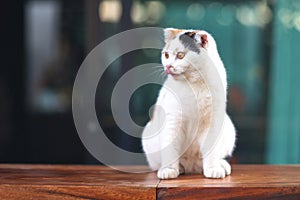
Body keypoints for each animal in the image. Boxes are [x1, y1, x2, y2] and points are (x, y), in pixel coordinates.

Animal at [142, 27, 236, 179]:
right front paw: (169, 170)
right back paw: (178, 168)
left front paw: (213, 168)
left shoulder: (213, 121)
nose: (168, 66)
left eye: (180, 55)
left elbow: (211, 149)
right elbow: (170, 148)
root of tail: (192, 166)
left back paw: (221, 165)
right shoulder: (173, 120)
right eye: (166, 55)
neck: (195, 84)